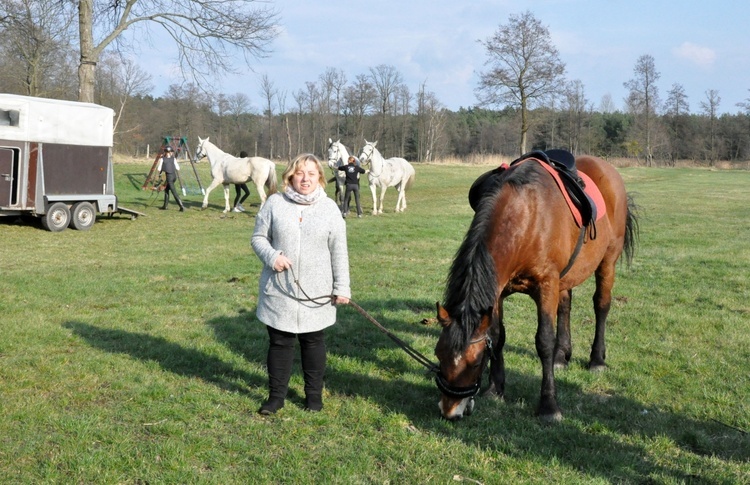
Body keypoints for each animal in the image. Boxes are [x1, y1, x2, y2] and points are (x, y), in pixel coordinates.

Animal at [434, 151, 640, 420]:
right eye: (438, 354)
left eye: (476, 362)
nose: (450, 410)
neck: (526, 215)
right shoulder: (498, 290)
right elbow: (497, 336)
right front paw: (495, 389)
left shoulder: (546, 286)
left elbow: (544, 341)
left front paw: (549, 406)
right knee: (565, 307)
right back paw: (562, 355)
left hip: (607, 261)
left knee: (601, 305)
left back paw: (597, 360)